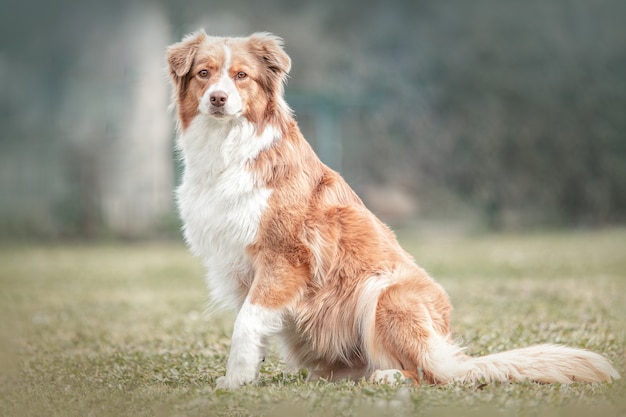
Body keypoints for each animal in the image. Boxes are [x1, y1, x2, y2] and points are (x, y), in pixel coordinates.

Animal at [167, 30, 620, 388]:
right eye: (204, 73)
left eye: (241, 76)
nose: (218, 98)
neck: (227, 147)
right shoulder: (242, 264)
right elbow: (250, 322)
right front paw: (243, 377)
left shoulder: (285, 256)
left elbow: (246, 322)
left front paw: (235, 382)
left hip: (384, 291)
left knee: (429, 375)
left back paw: (389, 377)